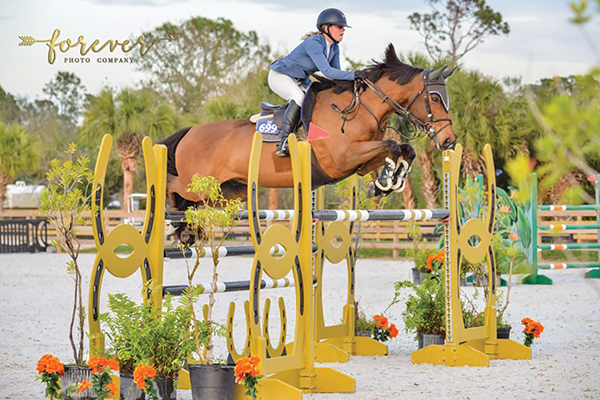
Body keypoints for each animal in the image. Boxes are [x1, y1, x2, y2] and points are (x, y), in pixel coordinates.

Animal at [159, 44, 457, 211]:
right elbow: (393, 144)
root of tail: (190, 131)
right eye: (434, 98)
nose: (449, 141)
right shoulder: (342, 158)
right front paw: (387, 181)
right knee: (172, 185)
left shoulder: (360, 163)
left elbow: (404, 150)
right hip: (196, 184)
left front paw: (387, 182)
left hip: (229, 192)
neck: (356, 110)